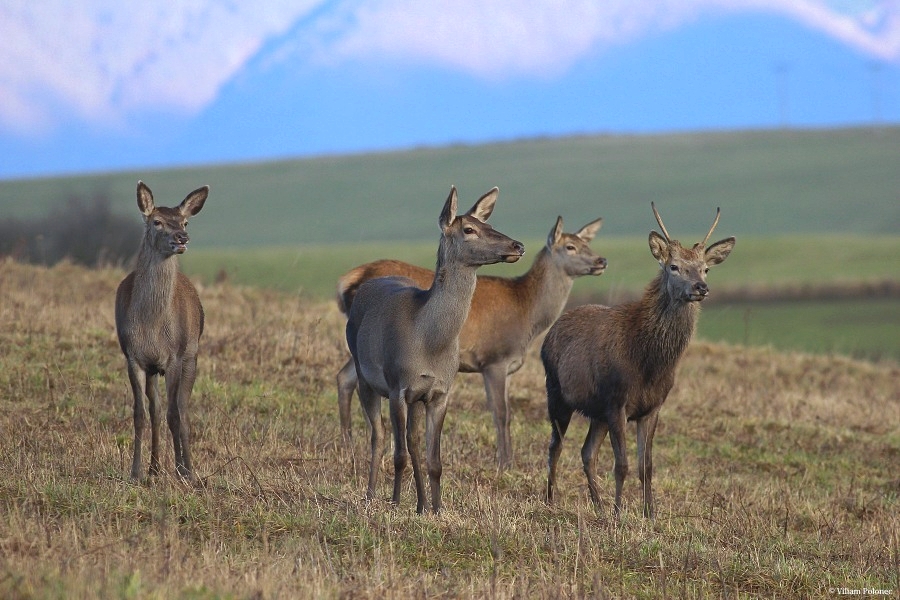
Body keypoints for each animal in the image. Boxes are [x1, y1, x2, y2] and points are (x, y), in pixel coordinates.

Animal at [114, 180, 207, 486]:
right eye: (157, 221)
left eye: (185, 221)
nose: (182, 237)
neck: (152, 327)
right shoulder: (133, 356)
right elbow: (140, 414)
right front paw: (136, 472)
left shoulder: (175, 356)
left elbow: (175, 414)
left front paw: (184, 472)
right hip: (155, 369)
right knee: (156, 411)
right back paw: (155, 468)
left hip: (191, 356)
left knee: (181, 410)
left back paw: (184, 469)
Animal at [346, 185, 528, 512]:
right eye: (469, 229)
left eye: (489, 224)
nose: (517, 245)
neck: (429, 342)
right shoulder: (397, 385)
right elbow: (400, 453)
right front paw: (398, 502)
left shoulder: (439, 392)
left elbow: (434, 459)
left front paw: (436, 507)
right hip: (364, 374)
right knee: (379, 436)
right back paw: (371, 493)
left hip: (414, 398)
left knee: (410, 440)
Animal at [536, 204, 736, 516]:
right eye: (673, 266)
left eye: (705, 268)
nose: (700, 287)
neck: (649, 364)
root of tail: (550, 332)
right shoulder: (617, 401)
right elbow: (622, 465)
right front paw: (620, 512)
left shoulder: (651, 408)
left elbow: (647, 466)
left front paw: (649, 512)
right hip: (556, 393)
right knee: (555, 446)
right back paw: (550, 499)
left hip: (597, 411)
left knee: (587, 452)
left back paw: (598, 505)